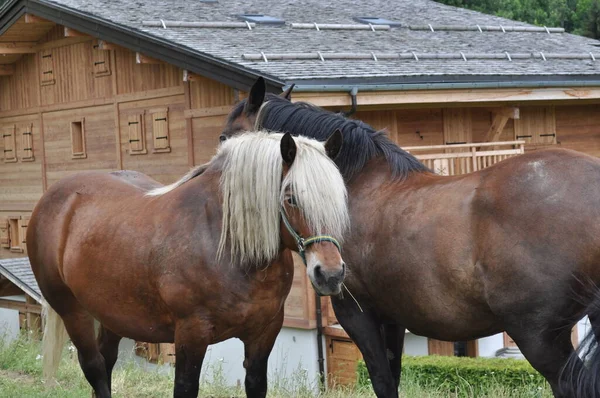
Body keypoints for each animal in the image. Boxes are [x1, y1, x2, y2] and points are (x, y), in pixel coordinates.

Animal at [28, 131, 350, 398]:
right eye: (291, 198)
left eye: (339, 198)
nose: (330, 274)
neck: (226, 243)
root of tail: (51, 199)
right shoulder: (191, 333)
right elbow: (185, 387)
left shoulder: (265, 332)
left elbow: (256, 385)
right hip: (73, 311)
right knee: (94, 366)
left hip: (111, 314)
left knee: (106, 364)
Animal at [221, 77, 600, 394]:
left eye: (225, 139)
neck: (352, 184)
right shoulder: (393, 318)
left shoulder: (356, 312)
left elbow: (381, 380)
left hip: (539, 336)